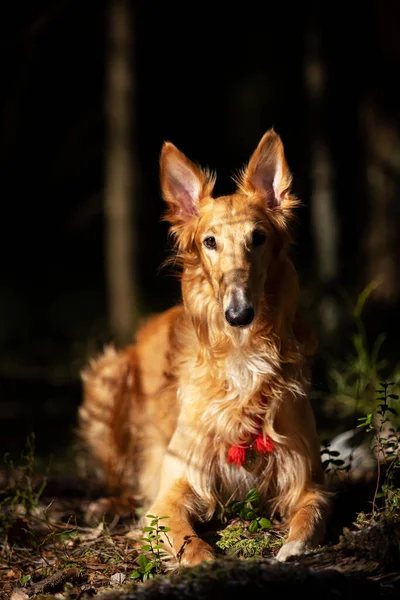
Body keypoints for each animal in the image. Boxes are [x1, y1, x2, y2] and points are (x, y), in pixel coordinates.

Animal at [78, 129, 332, 564]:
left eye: (258, 238)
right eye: (210, 241)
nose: (238, 313)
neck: (243, 354)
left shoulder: (307, 480)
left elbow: (311, 515)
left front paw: (291, 549)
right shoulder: (170, 493)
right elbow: (189, 542)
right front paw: (208, 564)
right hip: (107, 379)